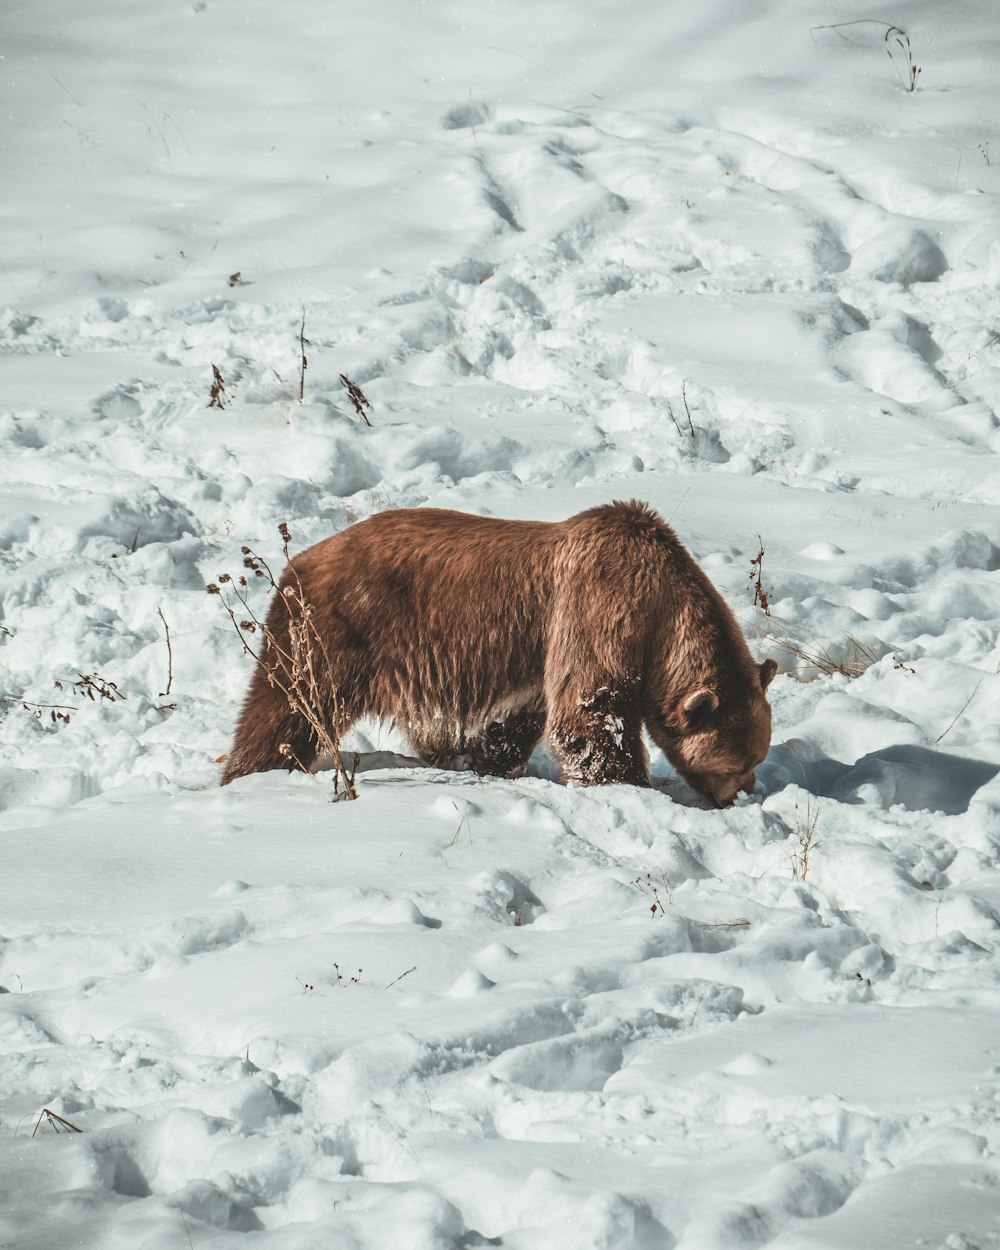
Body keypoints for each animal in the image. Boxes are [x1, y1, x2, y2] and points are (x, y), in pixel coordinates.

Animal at [222, 500, 775, 805]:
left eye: (757, 755)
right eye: (733, 764)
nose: (741, 794)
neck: (662, 611)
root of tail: (300, 560)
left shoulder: (536, 655)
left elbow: (517, 722)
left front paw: (488, 763)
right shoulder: (601, 605)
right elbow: (592, 711)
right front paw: (627, 785)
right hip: (337, 631)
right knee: (287, 706)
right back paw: (251, 771)